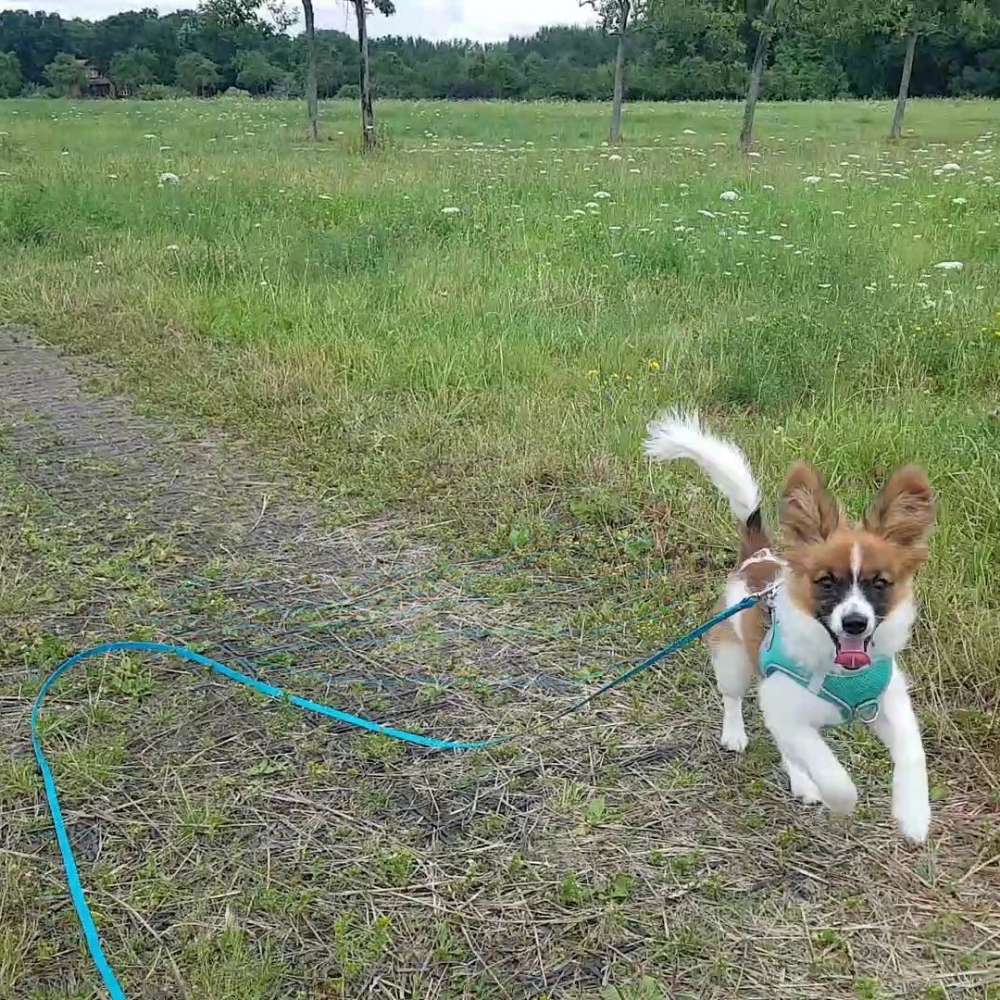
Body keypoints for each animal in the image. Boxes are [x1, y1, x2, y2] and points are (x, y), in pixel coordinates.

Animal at [644, 412, 932, 844]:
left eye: (879, 584)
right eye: (826, 582)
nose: (855, 621)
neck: (838, 669)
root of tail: (757, 556)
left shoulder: (889, 703)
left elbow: (913, 752)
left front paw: (914, 815)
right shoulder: (785, 707)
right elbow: (826, 766)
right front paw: (841, 799)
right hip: (733, 663)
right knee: (734, 699)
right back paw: (741, 738)